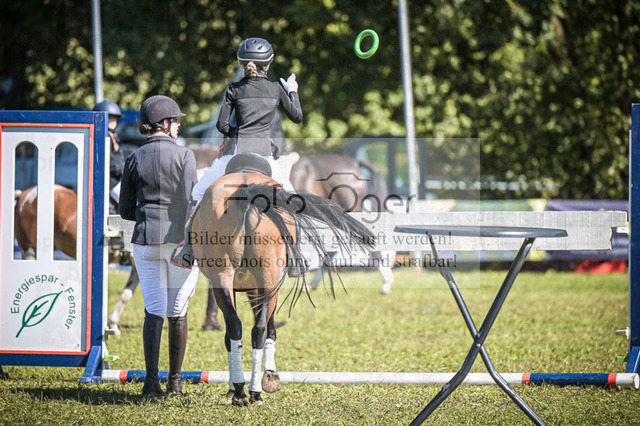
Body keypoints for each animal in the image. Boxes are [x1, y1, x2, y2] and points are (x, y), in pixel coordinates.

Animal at [192, 168, 374, 406]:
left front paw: (249, 382)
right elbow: (265, 330)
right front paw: (264, 378)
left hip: (235, 279)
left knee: (243, 327)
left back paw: (244, 391)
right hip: (257, 281)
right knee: (254, 329)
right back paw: (250, 391)